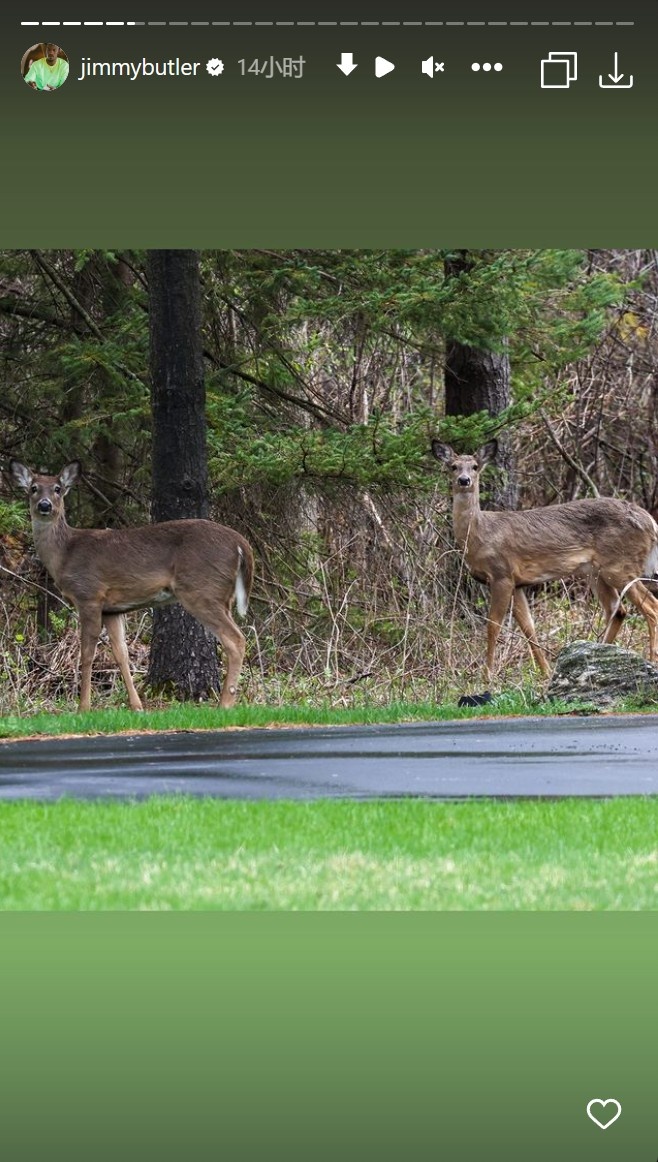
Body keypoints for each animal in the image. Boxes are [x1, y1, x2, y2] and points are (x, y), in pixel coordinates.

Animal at [9, 457, 254, 711]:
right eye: (33, 488)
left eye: (58, 489)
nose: (45, 505)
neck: (64, 554)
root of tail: (241, 543)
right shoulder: (112, 609)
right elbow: (121, 654)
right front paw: (137, 706)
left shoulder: (89, 595)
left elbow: (86, 654)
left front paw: (83, 707)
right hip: (221, 596)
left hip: (201, 590)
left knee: (236, 640)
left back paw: (225, 704)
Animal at [430, 441, 658, 678]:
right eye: (453, 466)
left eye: (475, 466)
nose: (464, 480)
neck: (480, 535)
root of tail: (651, 523)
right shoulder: (518, 583)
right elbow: (529, 627)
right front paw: (546, 672)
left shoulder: (502, 574)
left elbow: (493, 624)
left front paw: (487, 676)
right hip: (596, 572)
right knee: (617, 609)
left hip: (620, 566)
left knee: (651, 606)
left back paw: (650, 660)